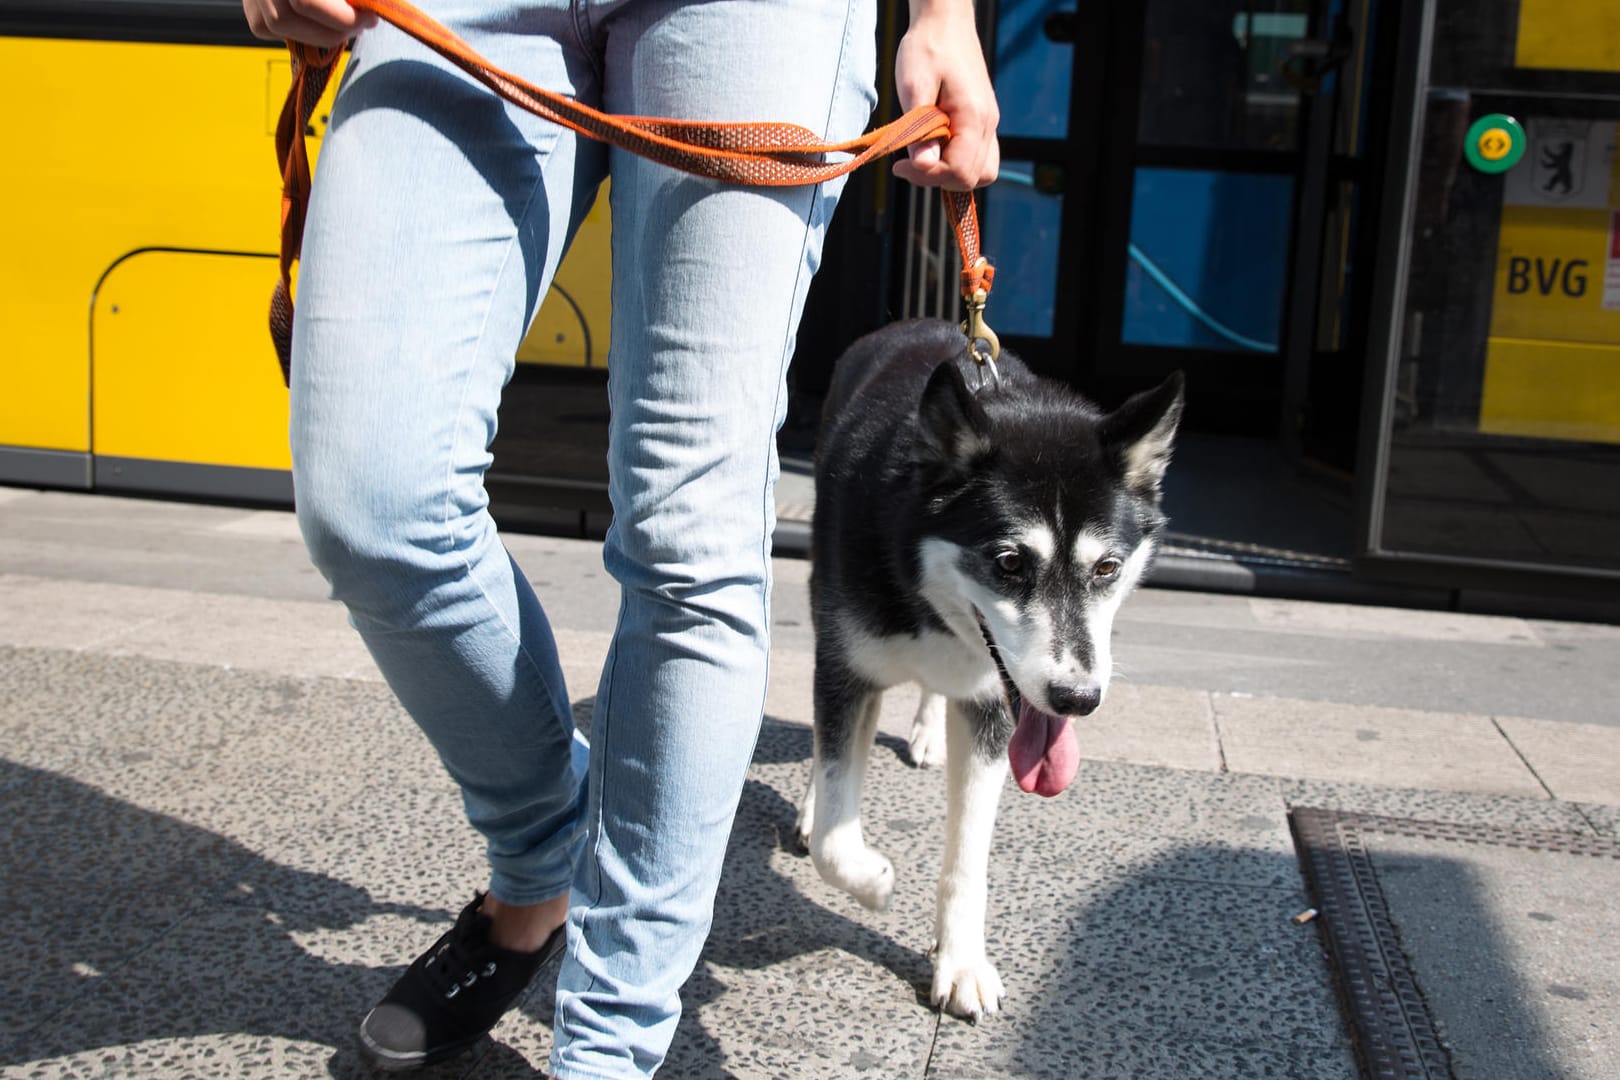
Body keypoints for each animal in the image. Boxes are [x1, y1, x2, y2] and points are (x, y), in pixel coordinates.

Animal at [793, 318, 1185, 1023]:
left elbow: (969, 857)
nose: (1076, 698)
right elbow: (836, 833)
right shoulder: (845, 664)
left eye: (1107, 568)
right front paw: (873, 881)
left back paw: (926, 732)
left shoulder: (992, 708)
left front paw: (961, 963)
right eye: (1008, 562)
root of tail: (922, 322)